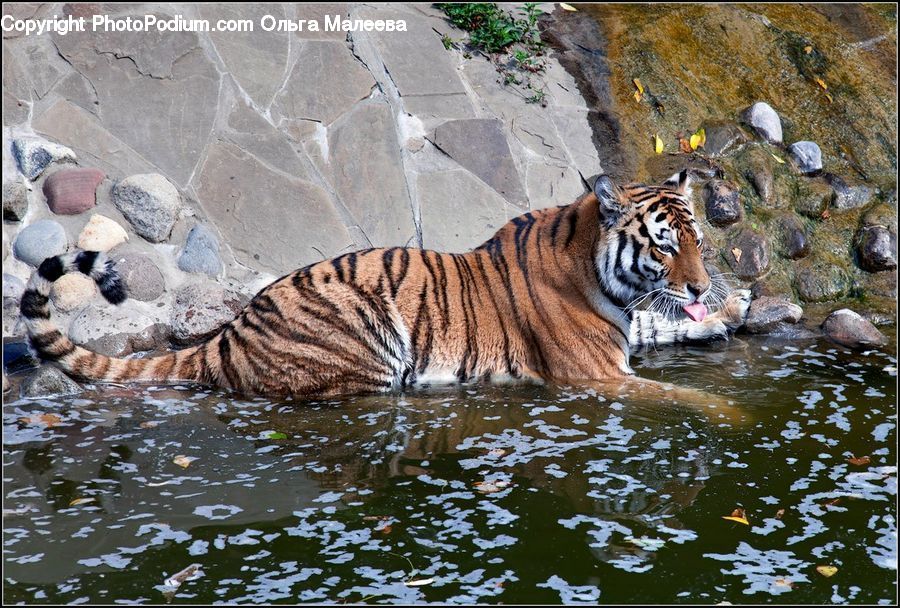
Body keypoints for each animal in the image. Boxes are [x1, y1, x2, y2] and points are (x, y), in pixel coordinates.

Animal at [20, 170, 751, 401]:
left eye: (698, 241)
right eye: (664, 244)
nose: (700, 285)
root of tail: (229, 334)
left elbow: (659, 325)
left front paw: (728, 310)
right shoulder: (598, 375)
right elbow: (695, 400)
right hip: (365, 347)